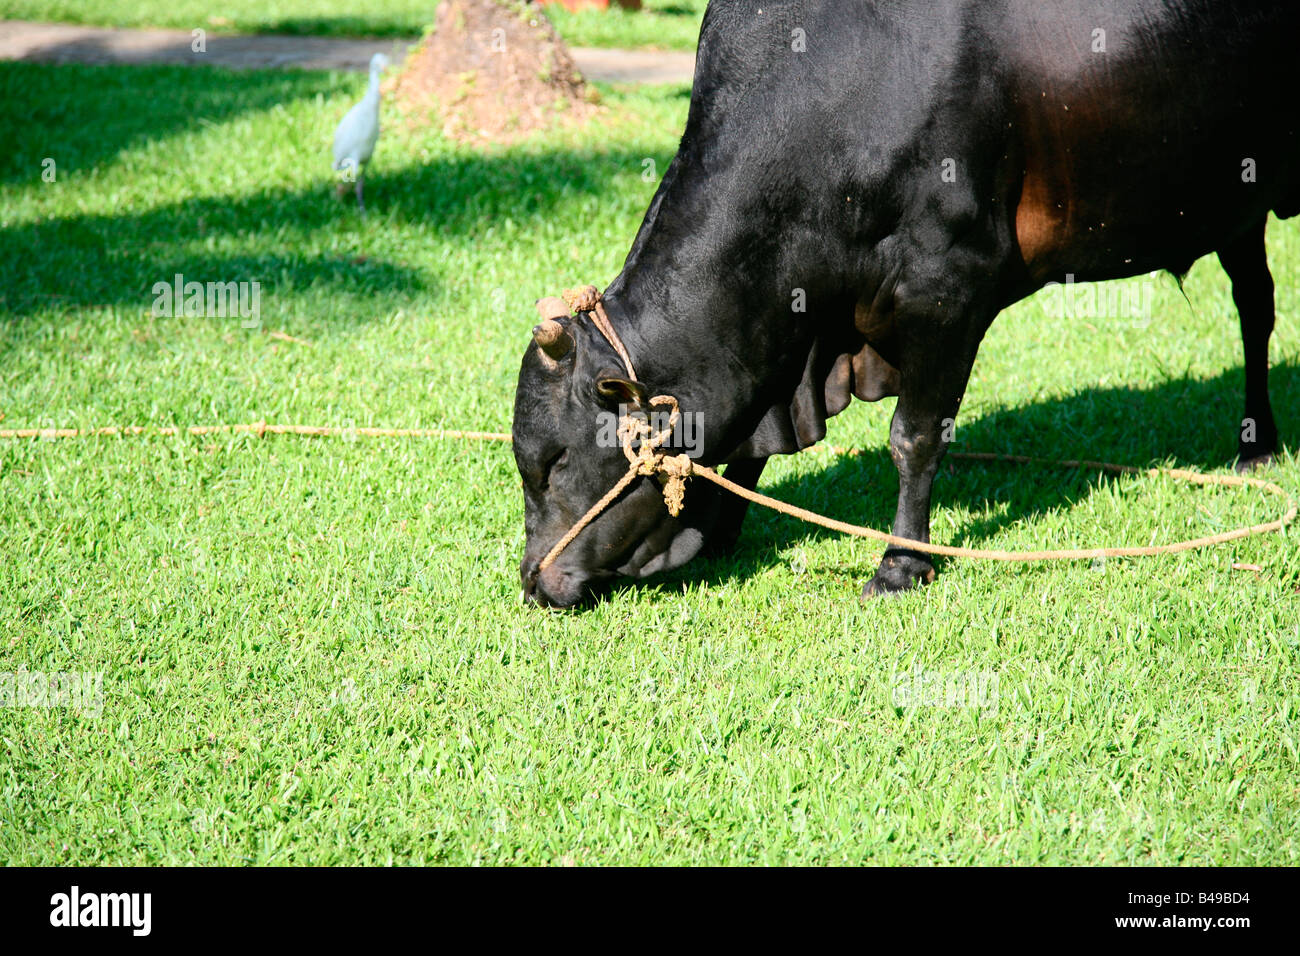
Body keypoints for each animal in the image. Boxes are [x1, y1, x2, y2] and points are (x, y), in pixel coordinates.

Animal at [512, 0, 1294, 608]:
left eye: (552, 463)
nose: (534, 582)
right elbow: (749, 452)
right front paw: (724, 529)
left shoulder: (949, 292)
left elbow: (913, 437)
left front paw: (900, 563)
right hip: (1239, 209)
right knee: (1256, 305)